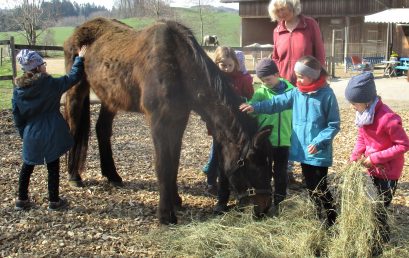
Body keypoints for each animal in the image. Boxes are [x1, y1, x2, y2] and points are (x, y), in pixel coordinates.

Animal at [63, 17, 272, 224]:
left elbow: (174, 163)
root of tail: (78, 31)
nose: (264, 208)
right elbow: (163, 165)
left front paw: (176, 200)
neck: (178, 65)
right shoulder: (159, 123)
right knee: (73, 126)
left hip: (110, 98)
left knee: (103, 130)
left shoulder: (178, 122)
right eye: (253, 165)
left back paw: (113, 175)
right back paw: (74, 176)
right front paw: (165, 215)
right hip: (77, 90)